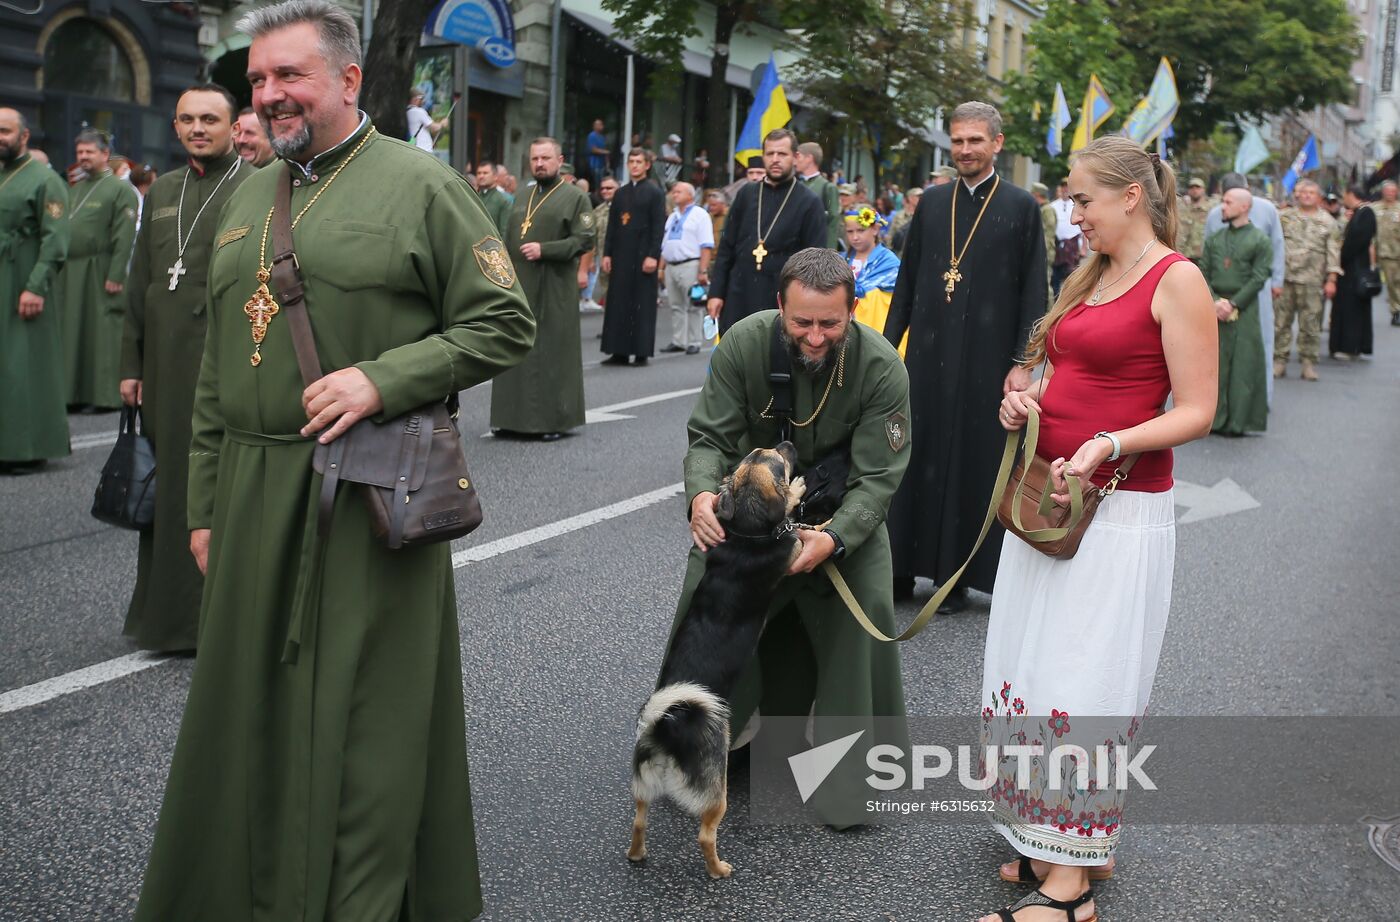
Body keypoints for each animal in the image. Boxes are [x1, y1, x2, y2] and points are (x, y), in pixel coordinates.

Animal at [630, 444, 806, 878]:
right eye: (778, 460)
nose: (787, 444)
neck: (745, 530)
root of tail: (666, 728)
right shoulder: (792, 550)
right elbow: (794, 525)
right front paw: (796, 491)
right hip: (716, 791)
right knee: (705, 835)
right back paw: (719, 869)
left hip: (643, 787)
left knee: (639, 821)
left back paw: (637, 855)